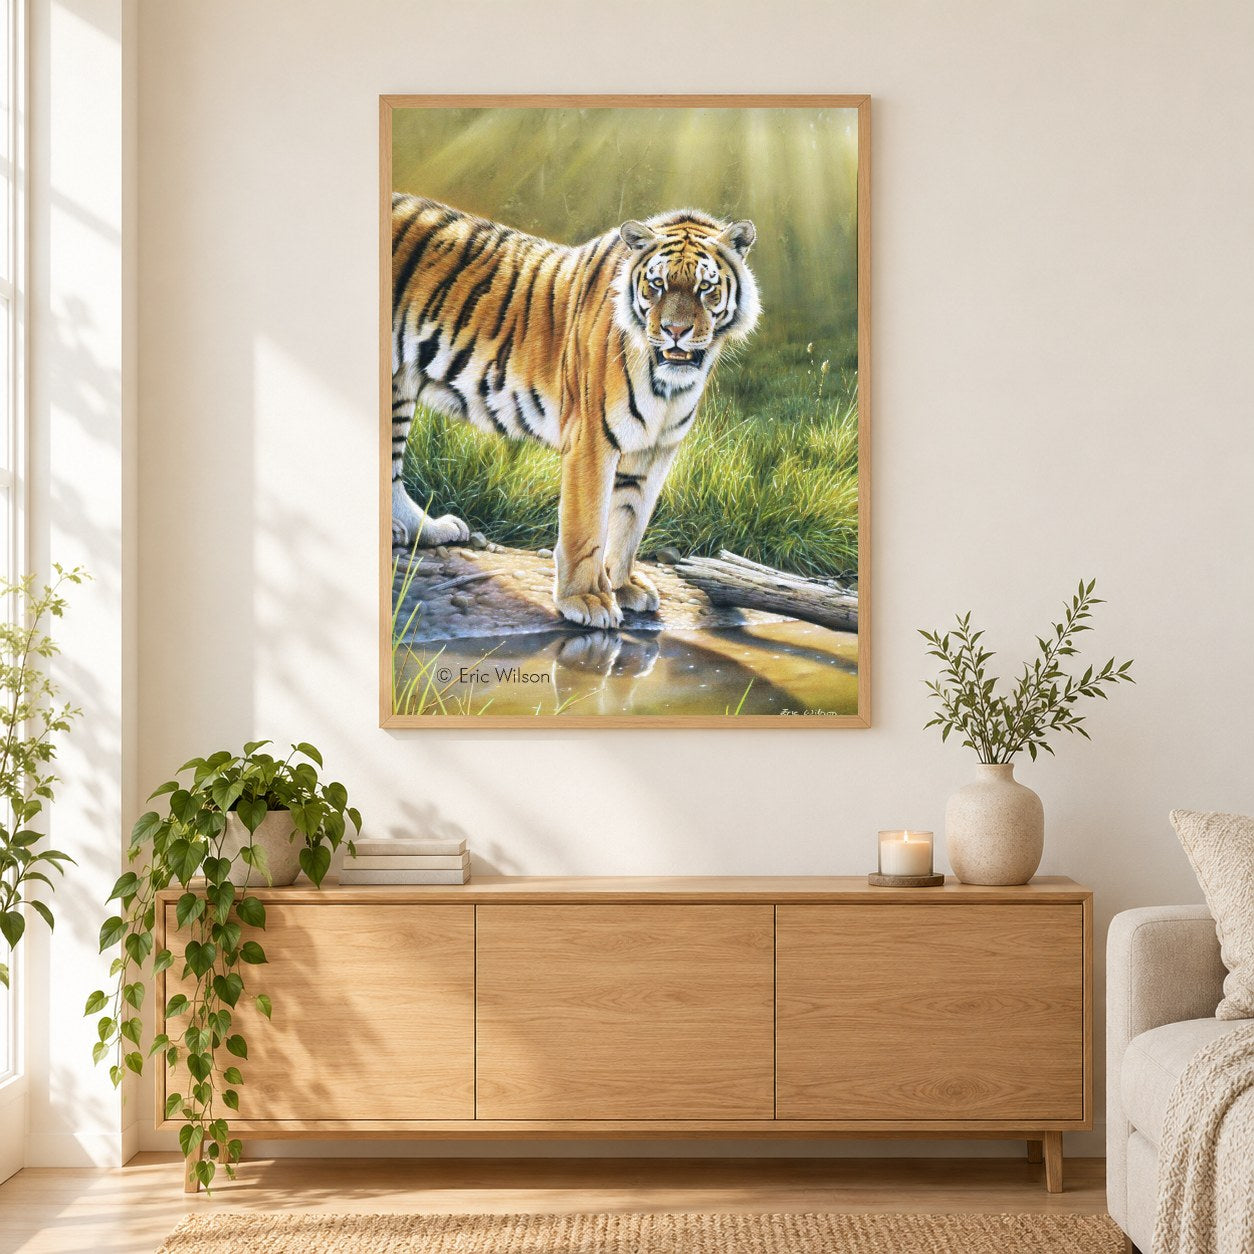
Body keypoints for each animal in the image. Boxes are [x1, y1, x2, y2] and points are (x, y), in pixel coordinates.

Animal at [390, 193, 760, 629]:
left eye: (706, 287)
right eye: (657, 285)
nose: (675, 331)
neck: (670, 385)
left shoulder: (654, 450)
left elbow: (630, 522)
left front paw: (622, 585)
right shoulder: (592, 440)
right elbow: (587, 526)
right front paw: (585, 599)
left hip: (398, 387)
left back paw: (427, 531)